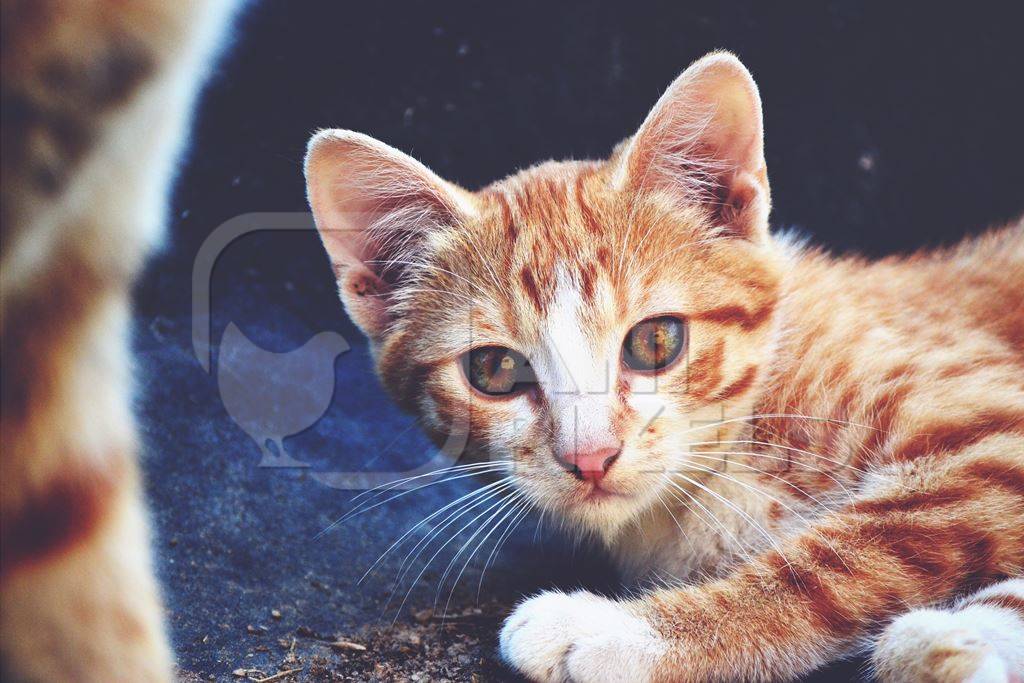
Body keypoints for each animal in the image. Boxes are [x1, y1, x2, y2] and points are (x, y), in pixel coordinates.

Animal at [305, 50, 1024, 679]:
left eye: (655, 342)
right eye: (495, 371)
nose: (589, 456)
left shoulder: (996, 432)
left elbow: (841, 559)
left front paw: (620, 633)